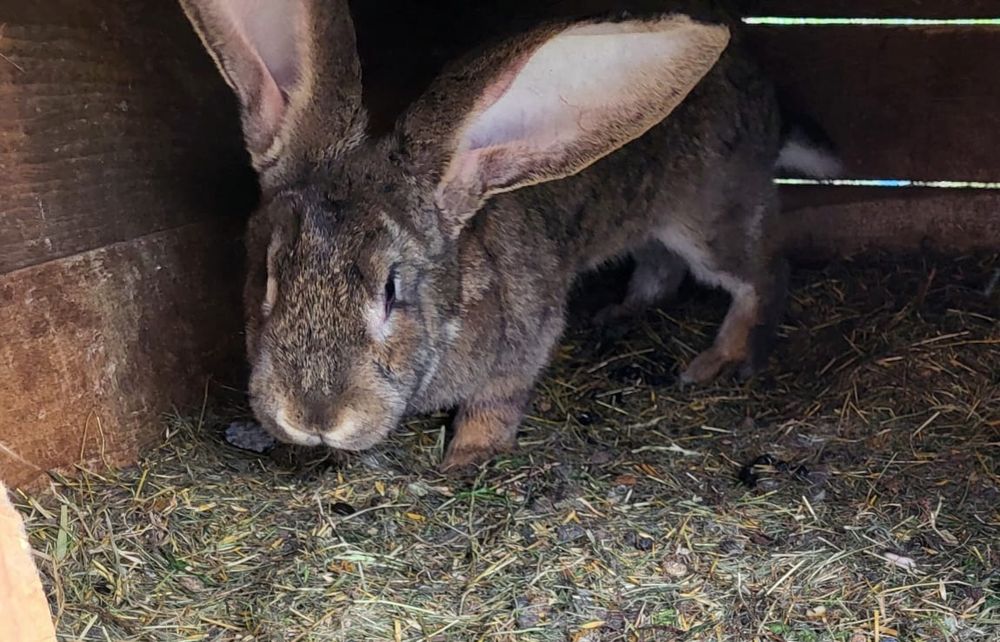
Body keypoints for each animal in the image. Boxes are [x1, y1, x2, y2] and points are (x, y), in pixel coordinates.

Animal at [178, 0, 836, 470]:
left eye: (392, 291)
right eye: (269, 274)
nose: (314, 416)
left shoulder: (522, 340)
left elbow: (497, 402)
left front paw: (464, 459)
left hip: (708, 216)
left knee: (762, 272)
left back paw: (722, 361)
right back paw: (620, 314)